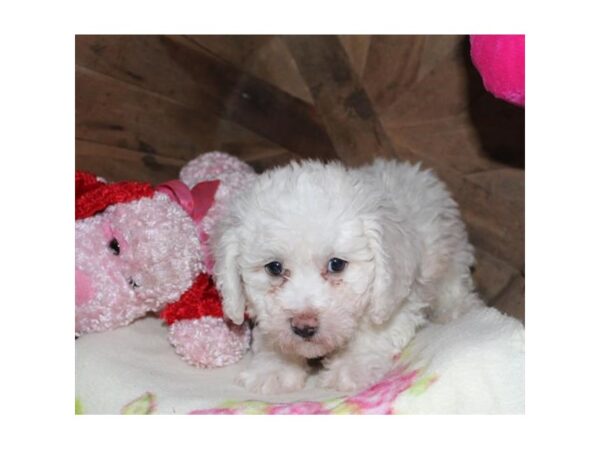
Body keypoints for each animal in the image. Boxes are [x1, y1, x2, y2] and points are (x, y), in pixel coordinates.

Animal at [211, 159, 482, 394]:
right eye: (274, 268)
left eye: (336, 265)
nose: (304, 327)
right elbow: (272, 335)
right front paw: (274, 369)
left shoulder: (395, 296)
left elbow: (371, 333)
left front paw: (351, 367)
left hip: (450, 251)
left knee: (454, 284)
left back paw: (454, 310)